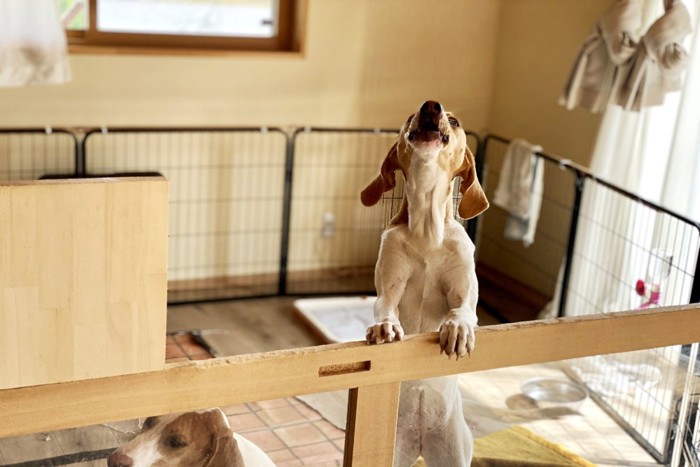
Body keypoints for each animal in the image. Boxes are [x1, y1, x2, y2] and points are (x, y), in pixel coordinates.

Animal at [360, 100, 486, 466]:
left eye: (454, 121)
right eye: (408, 117)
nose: (431, 105)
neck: (428, 231)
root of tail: (420, 442)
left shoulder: (463, 292)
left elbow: (463, 310)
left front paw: (457, 330)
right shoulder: (390, 285)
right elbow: (385, 307)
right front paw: (385, 328)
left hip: (454, 452)